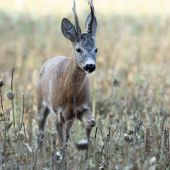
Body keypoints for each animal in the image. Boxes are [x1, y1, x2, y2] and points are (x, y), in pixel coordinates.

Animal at [36, 0, 98, 149]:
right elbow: (59, 142)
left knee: (67, 134)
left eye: (96, 49)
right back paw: (38, 151)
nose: (90, 66)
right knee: (40, 130)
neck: (70, 96)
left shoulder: (82, 108)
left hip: (70, 118)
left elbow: (91, 122)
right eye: (78, 49)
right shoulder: (59, 113)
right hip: (40, 100)